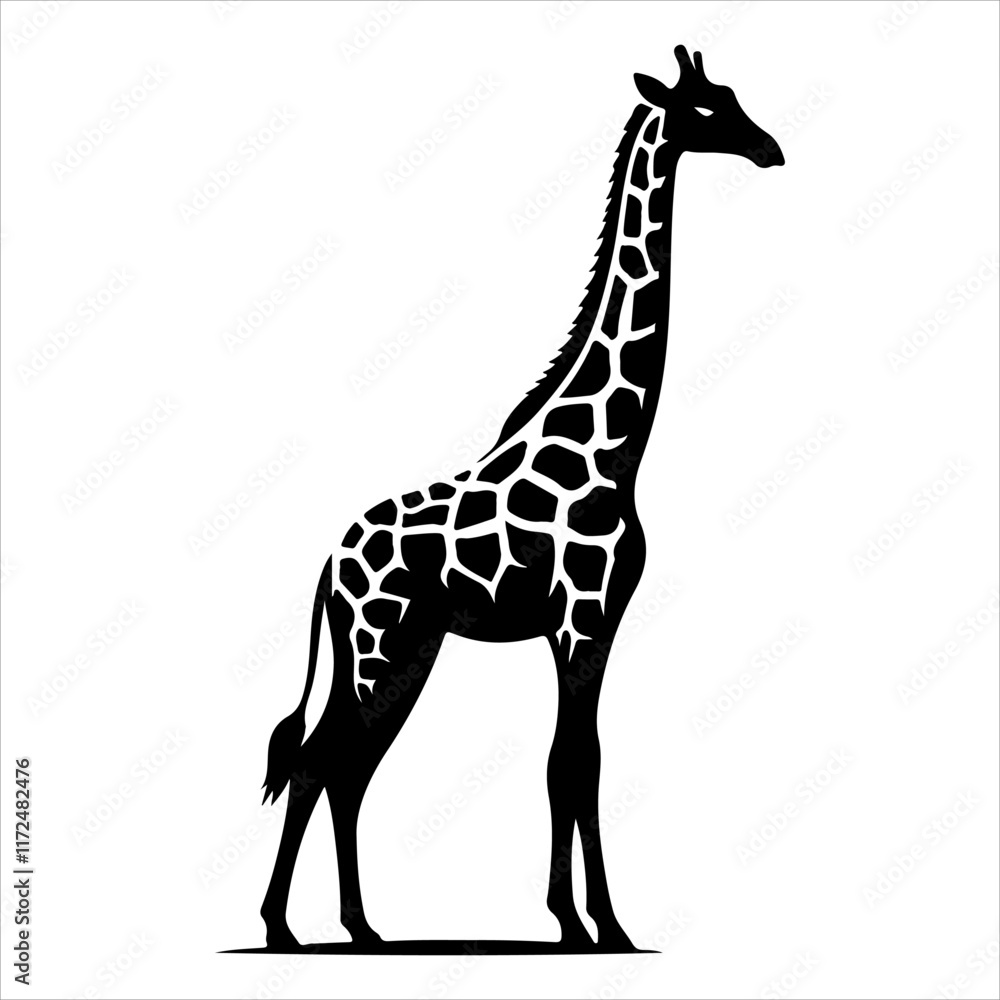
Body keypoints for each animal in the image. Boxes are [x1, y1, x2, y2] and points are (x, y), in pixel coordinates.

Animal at [257, 46, 783, 953]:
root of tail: (327, 564)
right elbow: (574, 762)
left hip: (411, 650)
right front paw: (594, 922)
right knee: (319, 759)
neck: (615, 449)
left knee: (348, 767)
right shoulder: (580, 617)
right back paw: (286, 929)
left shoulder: (596, 622)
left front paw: (585, 920)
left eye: (732, 96)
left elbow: (573, 761)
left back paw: (361, 926)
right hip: (374, 645)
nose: (770, 149)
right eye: (709, 109)